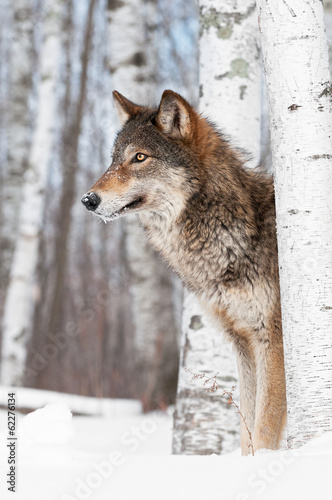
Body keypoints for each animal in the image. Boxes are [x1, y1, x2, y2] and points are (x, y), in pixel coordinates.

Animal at [81, 89, 286, 454]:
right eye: (114, 159)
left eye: (140, 157)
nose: (88, 200)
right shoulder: (242, 342)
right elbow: (246, 431)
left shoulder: (272, 340)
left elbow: (263, 430)